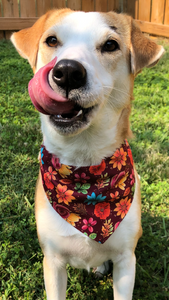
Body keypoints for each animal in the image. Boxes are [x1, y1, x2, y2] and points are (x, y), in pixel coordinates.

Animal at [10, 8, 164, 300]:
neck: (83, 170)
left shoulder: (126, 262)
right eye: (51, 40)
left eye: (110, 45)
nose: (68, 72)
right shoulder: (52, 262)